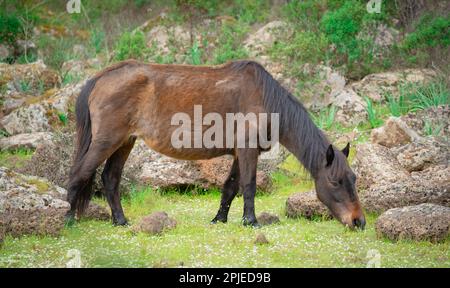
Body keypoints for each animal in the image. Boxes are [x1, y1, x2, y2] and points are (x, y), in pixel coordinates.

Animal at [67, 59, 366, 230]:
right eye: (335, 182)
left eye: (354, 178)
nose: (359, 221)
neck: (265, 98)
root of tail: (101, 78)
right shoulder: (247, 151)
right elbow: (249, 186)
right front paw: (251, 222)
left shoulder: (239, 153)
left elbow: (230, 187)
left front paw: (219, 219)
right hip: (107, 141)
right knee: (79, 175)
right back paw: (68, 219)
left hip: (124, 142)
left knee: (110, 178)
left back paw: (120, 221)